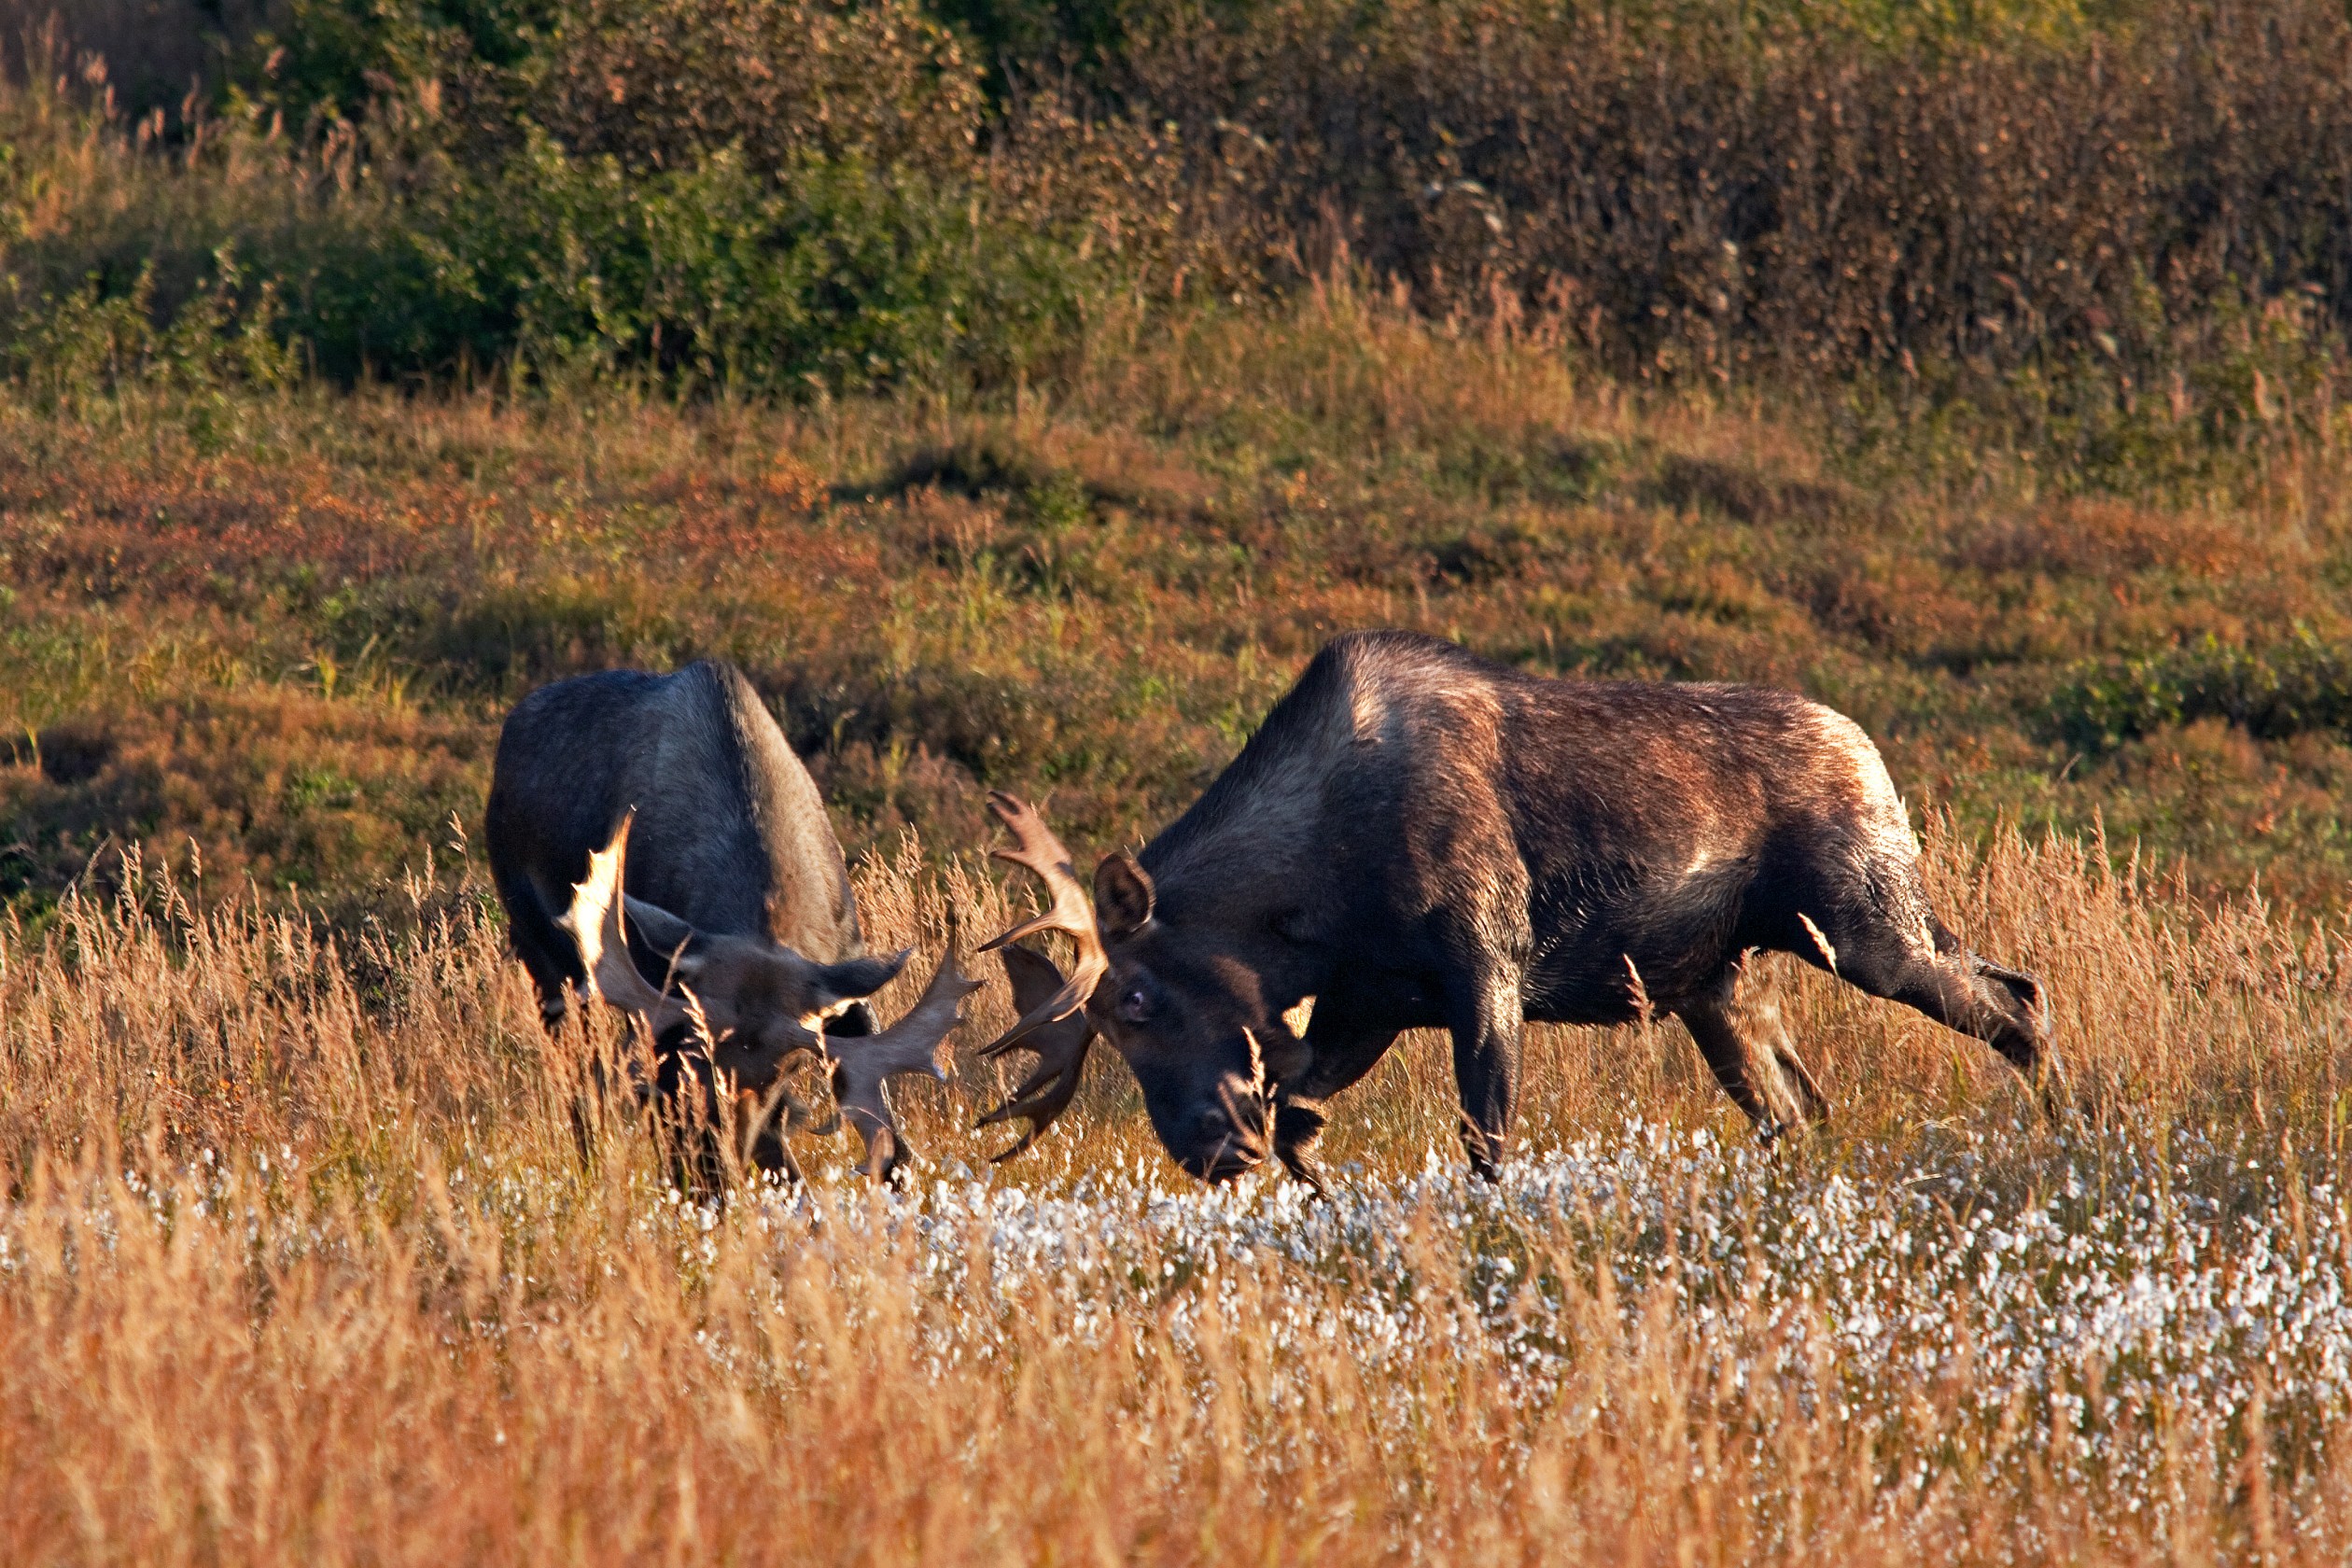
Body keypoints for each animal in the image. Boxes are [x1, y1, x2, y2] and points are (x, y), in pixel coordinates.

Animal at [486, 660, 975, 1182]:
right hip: (543, 958)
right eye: (703, 1051)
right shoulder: (664, 1014)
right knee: (581, 1081)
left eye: (791, 1065)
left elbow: (894, 1147)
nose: (737, 1140)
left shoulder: (847, 976)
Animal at [970, 630, 2060, 1191]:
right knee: (1801, 1107)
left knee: (2017, 999)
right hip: (1722, 986)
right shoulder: (1368, 1003)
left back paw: (2064, 1129)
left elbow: (1486, 1143)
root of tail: (1872, 754)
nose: (1201, 1147)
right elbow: (1301, 1110)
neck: (1309, 906)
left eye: (1137, 998)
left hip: (1868, 926)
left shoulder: (1483, 966)